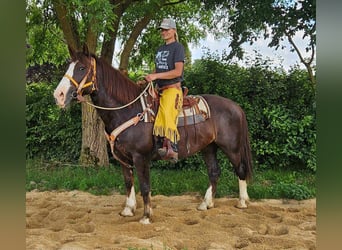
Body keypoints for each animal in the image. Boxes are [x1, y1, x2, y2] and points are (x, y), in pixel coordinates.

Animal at [52, 45, 251, 225]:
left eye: (81, 68)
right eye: (68, 66)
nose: (58, 95)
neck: (128, 110)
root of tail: (235, 106)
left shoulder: (140, 157)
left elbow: (145, 185)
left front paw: (146, 216)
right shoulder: (123, 157)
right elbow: (128, 182)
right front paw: (128, 209)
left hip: (231, 147)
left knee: (240, 169)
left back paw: (242, 202)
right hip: (209, 147)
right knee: (214, 172)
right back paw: (206, 204)